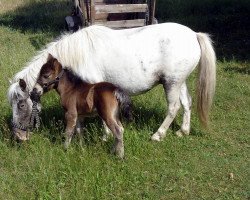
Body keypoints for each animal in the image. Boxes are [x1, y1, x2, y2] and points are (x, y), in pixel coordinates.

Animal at [7, 23, 215, 142]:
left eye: (21, 104)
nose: (18, 136)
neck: (78, 54)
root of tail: (194, 35)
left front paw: (105, 136)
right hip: (178, 81)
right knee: (186, 103)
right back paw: (183, 131)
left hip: (171, 83)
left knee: (173, 108)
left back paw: (158, 135)